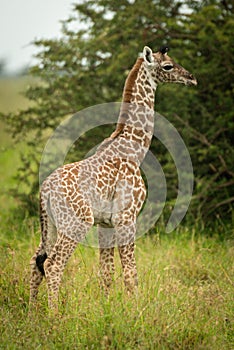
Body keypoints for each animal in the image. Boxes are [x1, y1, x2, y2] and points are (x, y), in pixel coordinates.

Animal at [29, 46, 197, 312]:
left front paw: (106, 311)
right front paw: (136, 310)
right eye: (168, 66)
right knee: (52, 264)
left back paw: (32, 312)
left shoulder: (105, 224)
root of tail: (44, 190)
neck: (134, 149)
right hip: (75, 223)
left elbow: (106, 273)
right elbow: (130, 272)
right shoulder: (127, 216)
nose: (191, 78)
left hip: (51, 225)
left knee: (36, 262)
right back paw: (53, 315)